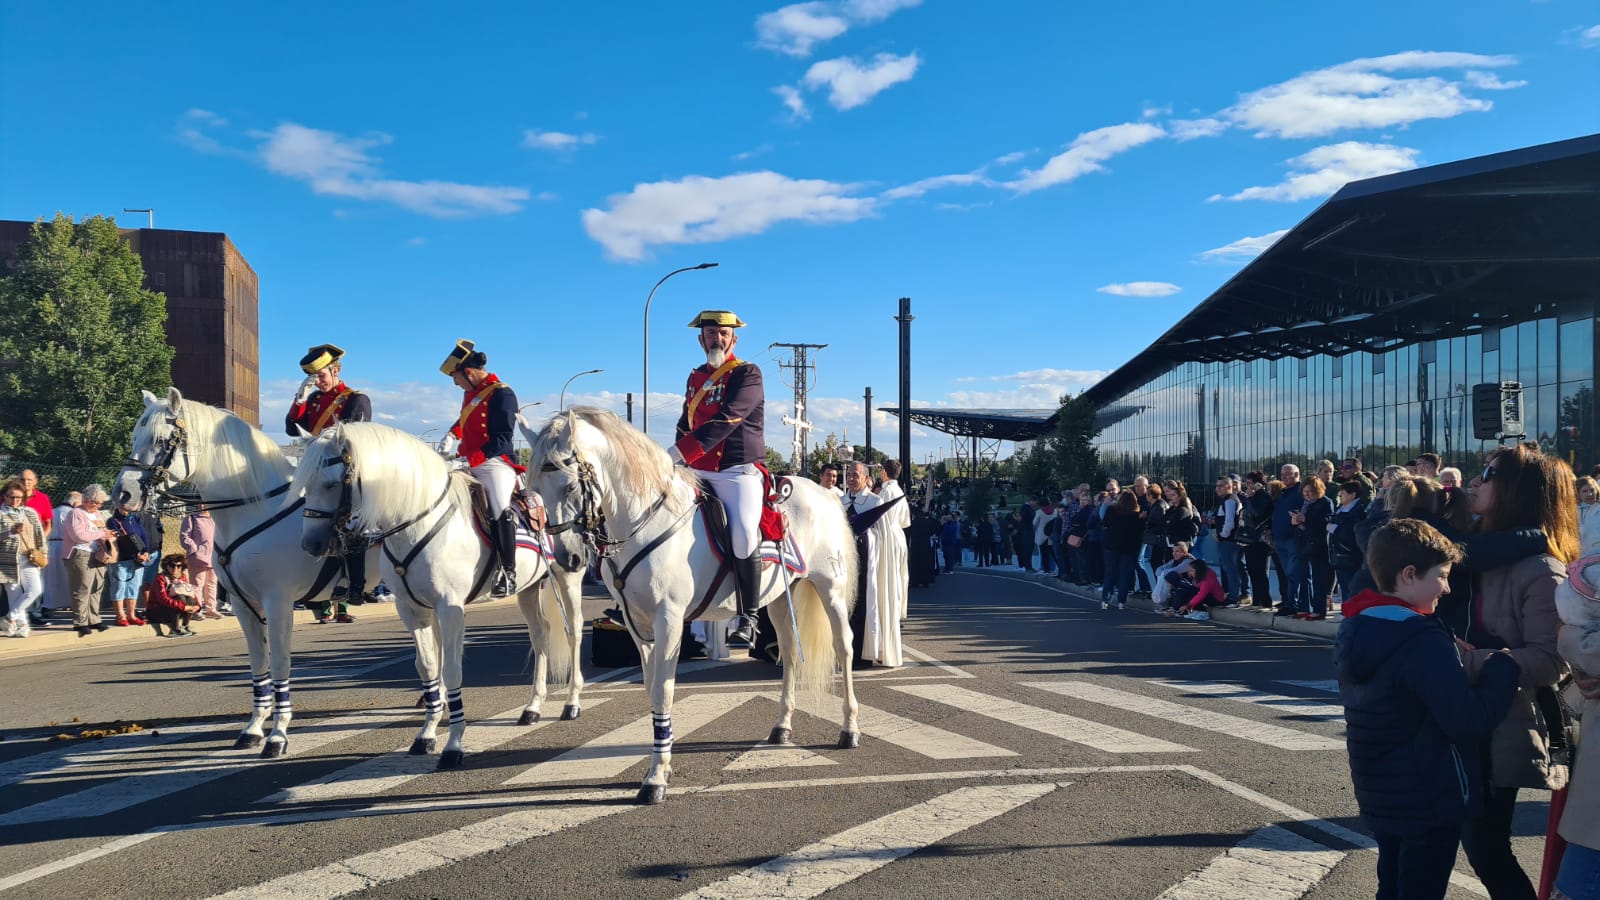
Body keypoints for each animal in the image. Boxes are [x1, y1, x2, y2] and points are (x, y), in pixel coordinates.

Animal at [291, 419, 592, 762]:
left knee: (573, 631)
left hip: (569, 578)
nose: (310, 544)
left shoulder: (450, 608)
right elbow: (428, 666)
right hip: (528, 589)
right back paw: (533, 707)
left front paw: (454, 743)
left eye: (330, 484)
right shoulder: (412, 609)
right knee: (540, 634)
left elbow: (451, 669)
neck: (415, 522)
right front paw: (427, 732)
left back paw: (571, 702)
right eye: (304, 485)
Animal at [528, 405, 864, 797]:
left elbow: (663, 690)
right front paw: (661, 759)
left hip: (831, 589)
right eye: (534, 491)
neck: (646, 520)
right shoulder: (638, 624)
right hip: (781, 598)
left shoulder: (669, 619)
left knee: (844, 647)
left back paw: (849, 729)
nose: (568, 559)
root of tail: (825, 492)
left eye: (569, 486)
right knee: (790, 654)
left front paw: (656, 777)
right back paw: (781, 726)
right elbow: (651, 689)